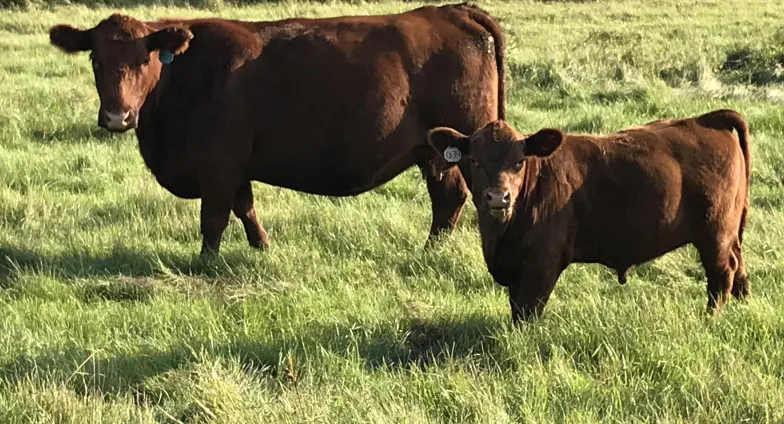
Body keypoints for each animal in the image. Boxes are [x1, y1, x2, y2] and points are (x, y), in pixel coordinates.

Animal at [49, 2, 506, 255]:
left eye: (144, 60)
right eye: (96, 60)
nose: (117, 116)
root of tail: (453, 11)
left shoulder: (218, 166)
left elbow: (214, 218)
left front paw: (206, 261)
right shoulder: (235, 166)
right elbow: (244, 207)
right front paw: (261, 246)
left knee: (458, 197)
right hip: (434, 153)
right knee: (447, 198)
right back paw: (431, 250)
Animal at [428, 108, 752, 322]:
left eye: (519, 161)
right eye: (474, 160)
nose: (499, 197)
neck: (500, 235)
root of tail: (707, 119)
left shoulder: (542, 265)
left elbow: (527, 312)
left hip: (715, 232)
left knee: (721, 274)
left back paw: (711, 319)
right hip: (729, 230)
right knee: (738, 265)